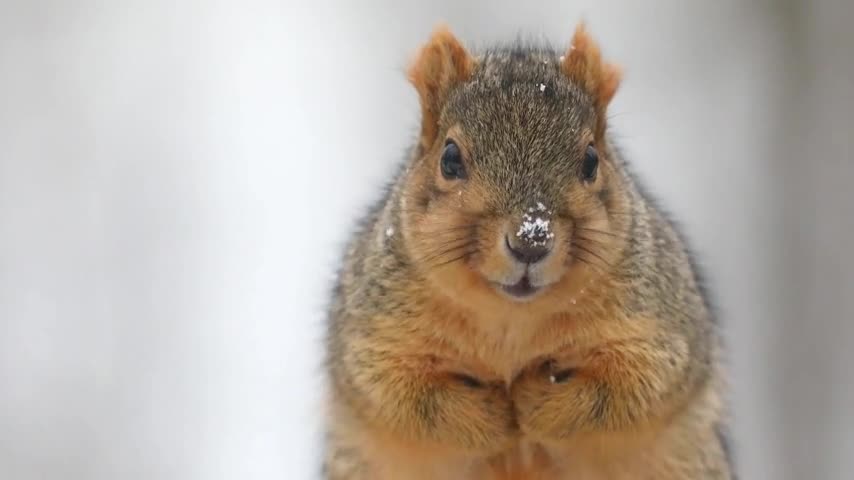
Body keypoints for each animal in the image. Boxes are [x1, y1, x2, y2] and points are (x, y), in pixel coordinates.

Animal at [320, 21, 736, 480]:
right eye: (450, 158)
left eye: (591, 160)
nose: (531, 240)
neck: (512, 318)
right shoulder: (377, 330)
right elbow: (400, 394)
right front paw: (495, 414)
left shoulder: (659, 323)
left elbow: (633, 385)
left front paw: (534, 402)